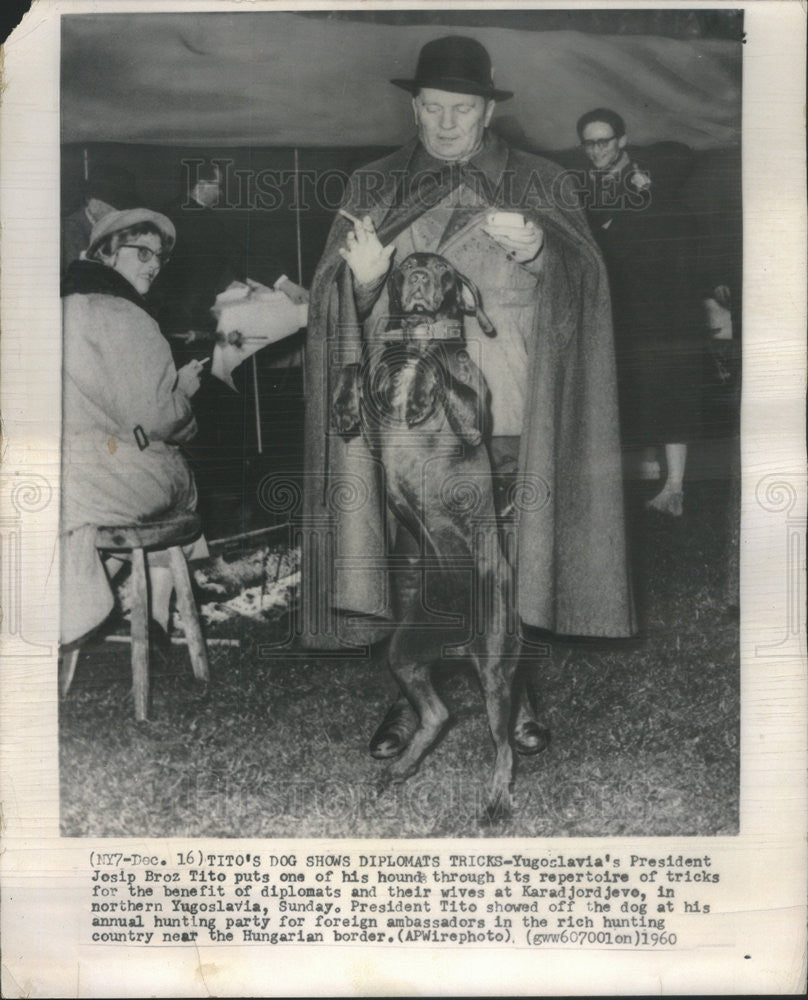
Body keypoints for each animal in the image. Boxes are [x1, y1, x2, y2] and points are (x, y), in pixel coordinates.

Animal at [328, 252, 544, 820]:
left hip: (495, 664)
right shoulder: (371, 419)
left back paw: (497, 797)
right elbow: (355, 368)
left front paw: (427, 377)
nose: (423, 278)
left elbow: (444, 372)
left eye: (445, 271)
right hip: (406, 652)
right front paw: (343, 402)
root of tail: (458, 645)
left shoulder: (471, 418)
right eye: (405, 267)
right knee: (439, 714)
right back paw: (400, 768)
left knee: (501, 743)